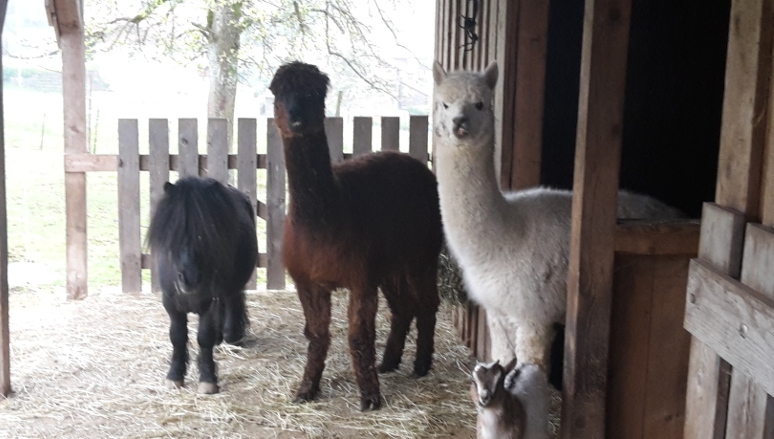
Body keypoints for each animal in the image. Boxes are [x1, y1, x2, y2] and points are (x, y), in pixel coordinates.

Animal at [149, 177, 260, 394]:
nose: (190, 279)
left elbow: (204, 337)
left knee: (232, 300)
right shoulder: (170, 303)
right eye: (173, 232)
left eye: (207, 233)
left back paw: (231, 334)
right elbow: (177, 336)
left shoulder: (209, 302)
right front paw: (174, 376)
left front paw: (208, 380)